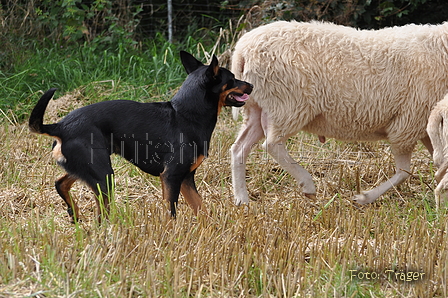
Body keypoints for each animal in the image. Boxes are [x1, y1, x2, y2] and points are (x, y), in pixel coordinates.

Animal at [29, 50, 254, 221]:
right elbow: (171, 212)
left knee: (60, 183)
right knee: (100, 216)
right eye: (232, 79)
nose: (251, 85)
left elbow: (201, 208)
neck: (185, 115)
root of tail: (59, 126)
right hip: (103, 176)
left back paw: (74, 213)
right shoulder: (172, 176)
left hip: (86, 169)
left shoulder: (186, 179)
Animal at [231, 21, 448, 206]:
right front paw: (364, 198)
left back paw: (242, 199)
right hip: (287, 105)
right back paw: (307, 184)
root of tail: (242, 50)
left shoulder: (425, 126)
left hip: (257, 108)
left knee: (239, 148)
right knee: (272, 144)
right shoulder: (408, 123)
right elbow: (404, 172)